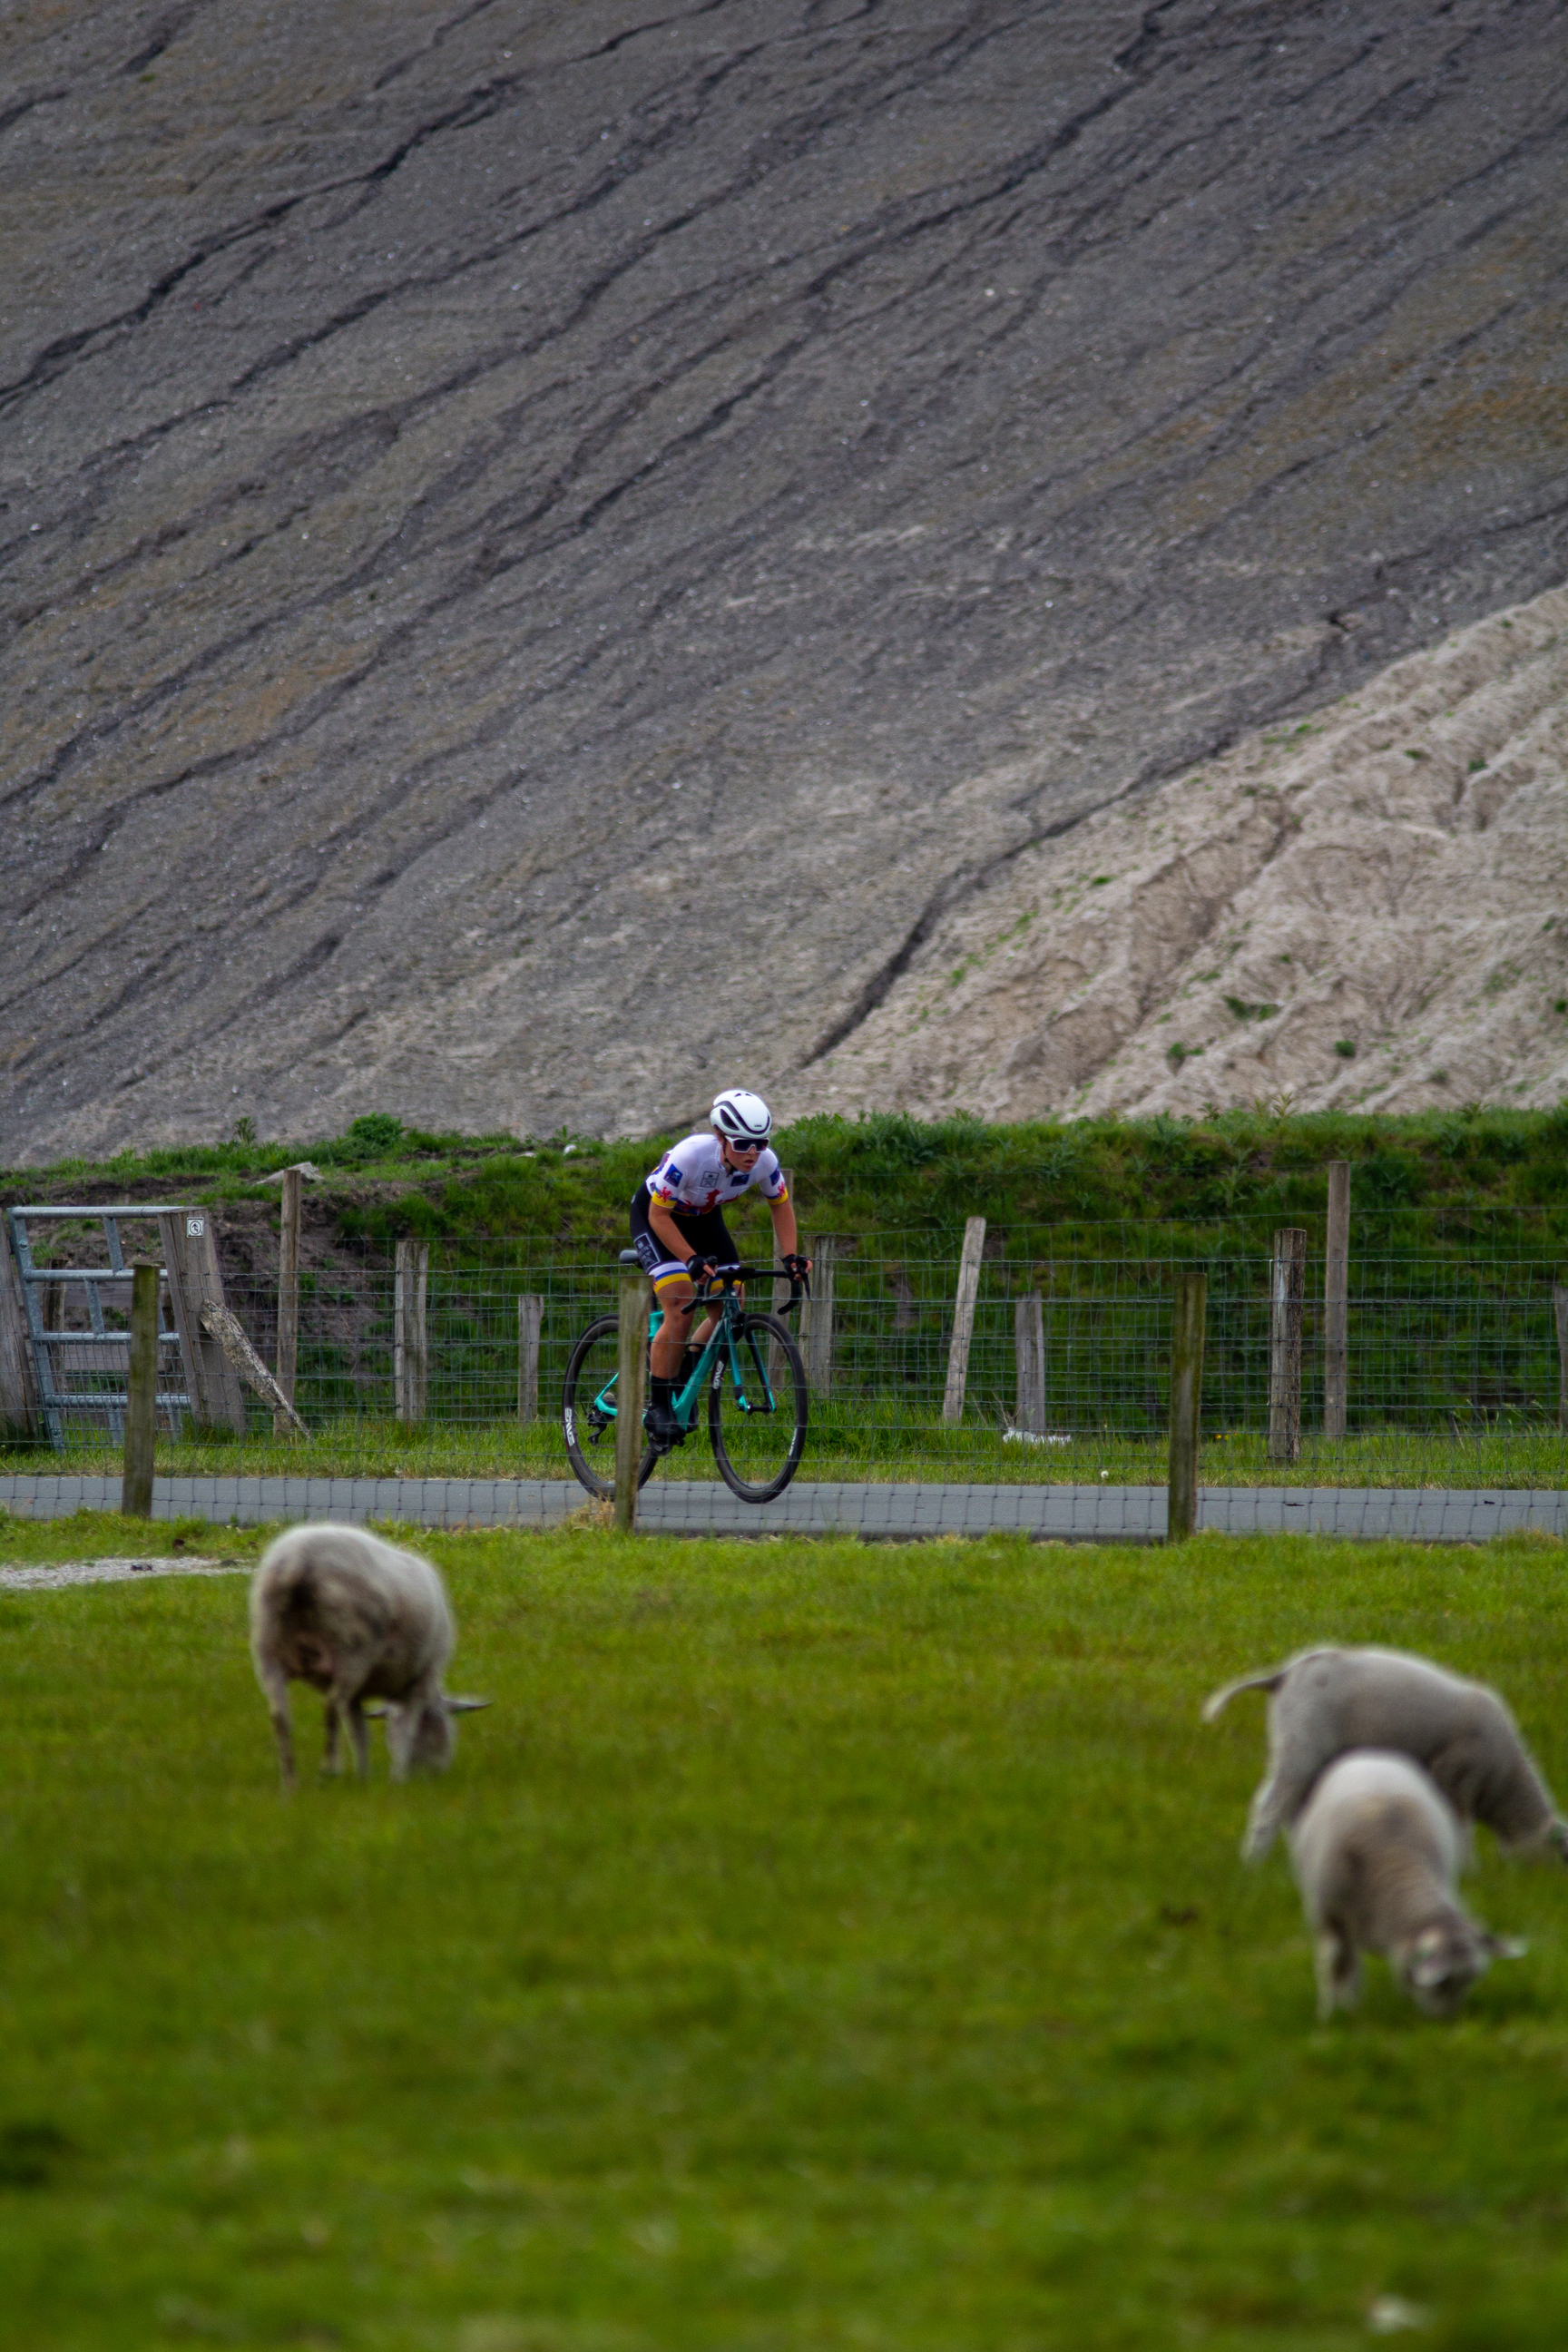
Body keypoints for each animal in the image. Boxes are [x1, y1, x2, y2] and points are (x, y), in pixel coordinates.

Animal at [250, 1524, 491, 1778]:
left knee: (280, 1716)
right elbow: (404, 1731)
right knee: (331, 1704)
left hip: (268, 1648)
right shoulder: (420, 1679)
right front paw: (398, 1775)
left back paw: (290, 1780)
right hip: (352, 1649)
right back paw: (329, 1768)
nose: (435, 1772)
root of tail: (297, 1561)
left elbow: (360, 1733)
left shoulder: (361, 1695)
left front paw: (363, 1776)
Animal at [1212, 1646, 1561, 1862]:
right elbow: (1459, 1827)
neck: (1505, 1781)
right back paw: (1254, 1863)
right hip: (1302, 1743)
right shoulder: (1458, 1774)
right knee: (1271, 1805)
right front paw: (1468, 1868)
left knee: (1292, 1807)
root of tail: (1284, 1676)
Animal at [1288, 1749, 1523, 2023]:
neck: (1393, 1861)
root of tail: (1371, 1755)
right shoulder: (1328, 1915)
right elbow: (1333, 1963)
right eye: (1443, 1983)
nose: (1449, 2021)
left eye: (1468, 1981)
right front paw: (1333, 2014)